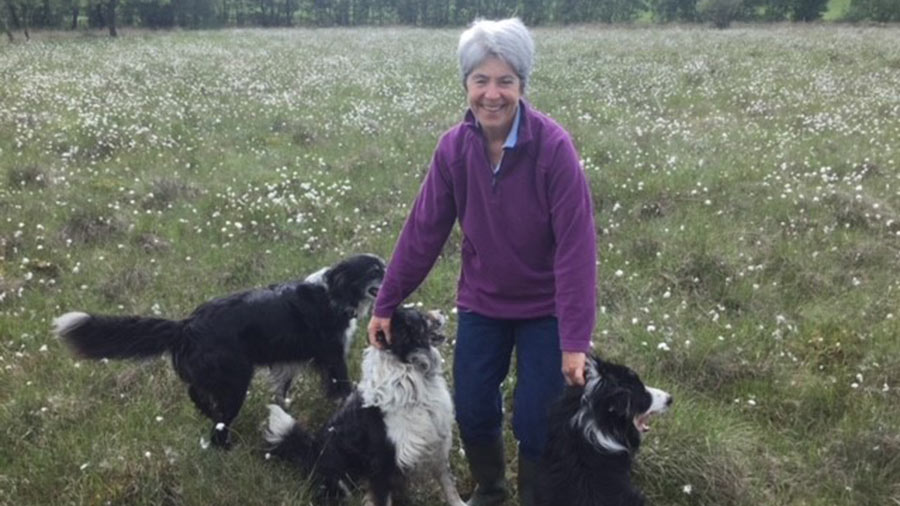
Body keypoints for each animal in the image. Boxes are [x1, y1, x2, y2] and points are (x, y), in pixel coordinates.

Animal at [52, 255, 384, 448]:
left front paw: (285, 409)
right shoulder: (332, 356)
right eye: (375, 270)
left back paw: (209, 413)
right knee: (218, 422)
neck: (335, 291)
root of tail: (187, 325)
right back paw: (226, 444)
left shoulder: (289, 360)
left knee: (196, 394)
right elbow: (342, 387)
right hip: (236, 380)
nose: (392, 274)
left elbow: (282, 389)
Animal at [266, 306, 464, 506]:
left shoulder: (436, 441)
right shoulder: (381, 466)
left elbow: (448, 483)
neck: (409, 370)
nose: (441, 311)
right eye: (421, 316)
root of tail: (312, 450)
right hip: (339, 481)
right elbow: (382, 498)